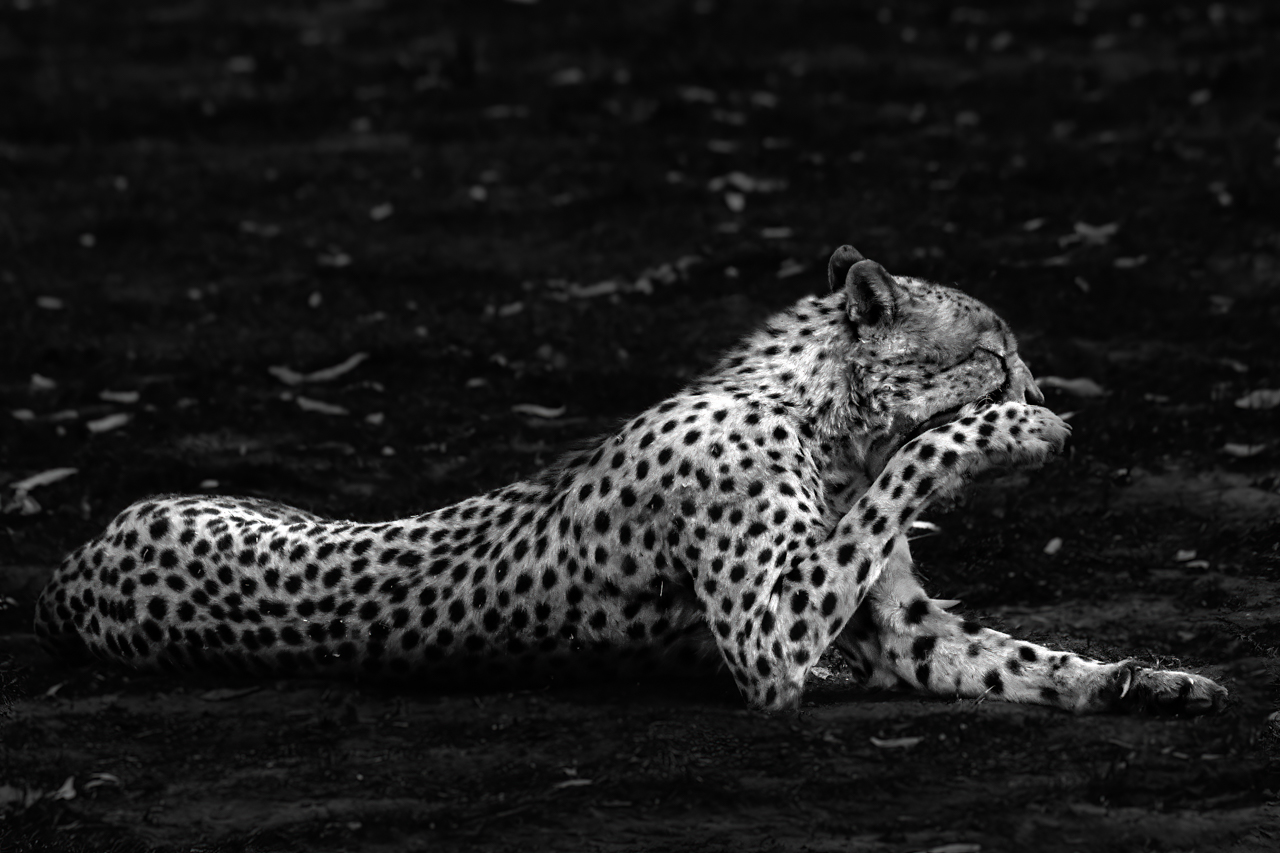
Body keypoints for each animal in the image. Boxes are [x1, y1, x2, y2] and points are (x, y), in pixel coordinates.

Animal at [34, 246, 1227, 715]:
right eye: (992, 351)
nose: (1038, 383)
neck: (825, 422)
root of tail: (66, 570)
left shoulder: (899, 628)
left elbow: (1017, 660)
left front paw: (1143, 681)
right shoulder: (767, 640)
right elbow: (922, 460)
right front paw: (1011, 428)